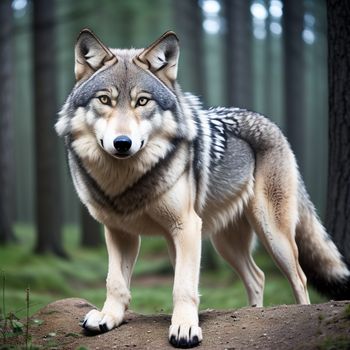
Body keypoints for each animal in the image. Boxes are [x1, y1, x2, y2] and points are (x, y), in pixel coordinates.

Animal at [55, 29, 350, 348]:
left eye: (142, 101)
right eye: (105, 100)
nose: (122, 143)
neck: (126, 181)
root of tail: (268, 121)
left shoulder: (186, 227)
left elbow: (183, 286)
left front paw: (185, 328)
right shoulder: (120, 233)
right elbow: (115, 282)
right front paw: (108, 317)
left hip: (272, 234)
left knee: (299, 277)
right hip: (224, 243)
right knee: (258, 276)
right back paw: (252, 311)